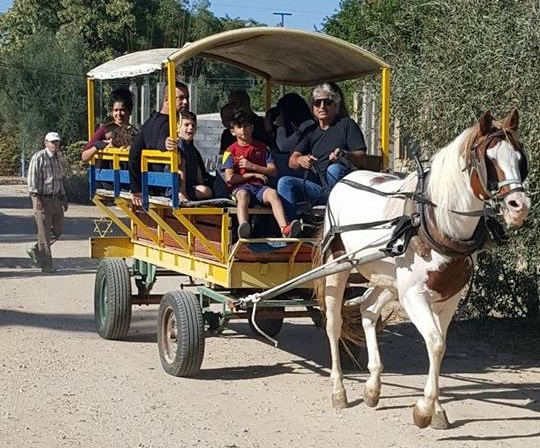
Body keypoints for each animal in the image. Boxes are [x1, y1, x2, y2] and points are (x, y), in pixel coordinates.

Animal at [314, 109, 528, 430]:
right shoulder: (414, 295)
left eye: (519, 158)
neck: (435, 222)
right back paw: (339, 389)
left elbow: (439, 345)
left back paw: (373, 387)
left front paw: (436, 409)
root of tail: (345, 178)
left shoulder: (449, 297)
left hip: (387, 279)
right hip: (339, 267)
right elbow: (435, 343)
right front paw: (425, 409)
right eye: (488, 160)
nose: (519, 207)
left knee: (368, 309)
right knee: (333, 324)